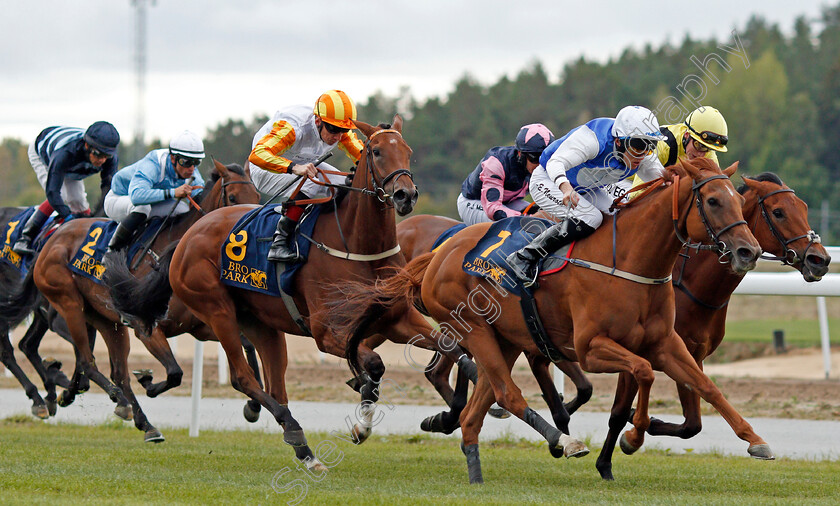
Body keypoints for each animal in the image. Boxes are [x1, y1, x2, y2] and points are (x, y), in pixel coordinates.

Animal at [0, 160, 260, 440]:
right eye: (232, 197)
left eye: (257, 196)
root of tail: (50, 241)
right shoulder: (146, 329)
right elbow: (175, 373)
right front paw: (146, 382)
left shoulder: (200, 325)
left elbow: (247, 344)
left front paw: (254, 405)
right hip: (68, 305)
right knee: (85, 361)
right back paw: (103, 399)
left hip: (105, 320)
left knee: (103, 367)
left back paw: (141, 421)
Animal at [101, 118, 472, 470]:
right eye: (377, 151)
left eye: (408, 151)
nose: (405, 195)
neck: (358, 247)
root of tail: (188, 236)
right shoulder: (328, 333)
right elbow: (375, 365)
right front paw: (362, 424)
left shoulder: (398, 319)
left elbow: (457, 354)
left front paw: (445, 418)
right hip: (217, 311)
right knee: (243, 377)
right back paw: (296, 434)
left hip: (260, 324)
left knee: (274, 386)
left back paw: (303, 449)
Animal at [336, 158, 776, 482]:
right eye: (714, 201)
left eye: (737, 199)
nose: (748, 251)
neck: (630, 260)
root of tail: (439, 253)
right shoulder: (591, 349)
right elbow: (644, 372)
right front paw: (634, 435)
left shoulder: (667, 343)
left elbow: (707, 386)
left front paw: (756, 440)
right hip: (472, 329)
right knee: (505, 394)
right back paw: (565, 442)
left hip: (504, 339)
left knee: (478, 408)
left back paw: (475, 470)